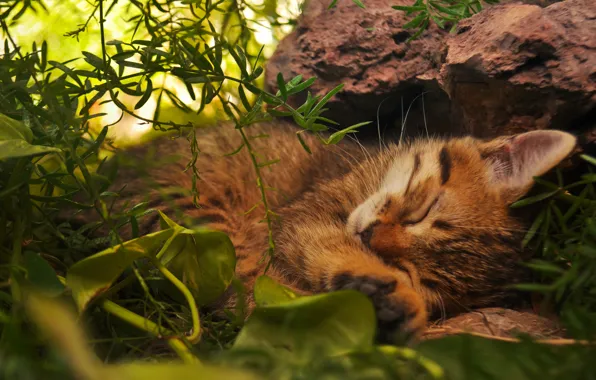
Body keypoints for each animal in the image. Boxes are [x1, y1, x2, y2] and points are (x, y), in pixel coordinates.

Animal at [77, 122, 576, 344]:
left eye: (418, 274)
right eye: (424, 211)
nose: (372, 240)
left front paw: (395, 300)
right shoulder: (306, 216)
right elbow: (321, 249)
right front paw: (385, 292)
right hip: (192, 216)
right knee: (241, 287)